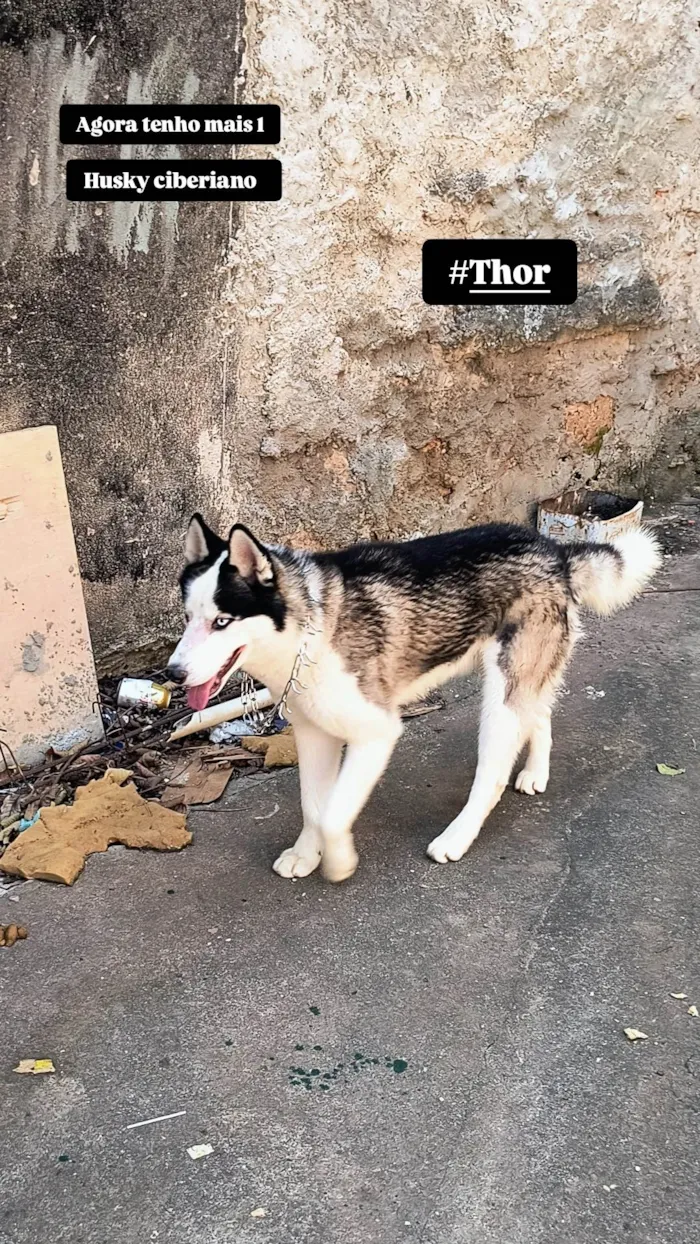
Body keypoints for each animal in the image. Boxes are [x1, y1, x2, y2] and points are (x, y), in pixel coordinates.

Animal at [166, 515, 661, 885]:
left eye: (222, 621)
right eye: (188, 618)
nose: (173, 674)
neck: (310, 628)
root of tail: (553, 549)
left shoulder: (377, 732)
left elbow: (333, 814)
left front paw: (339, 860)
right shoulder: (313, 734)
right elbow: (314, 806)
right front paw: (307, 854)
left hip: (501, 696)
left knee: (493, 773)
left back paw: (458, 836)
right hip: (516, 677)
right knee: (537, 712)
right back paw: (536, 771)